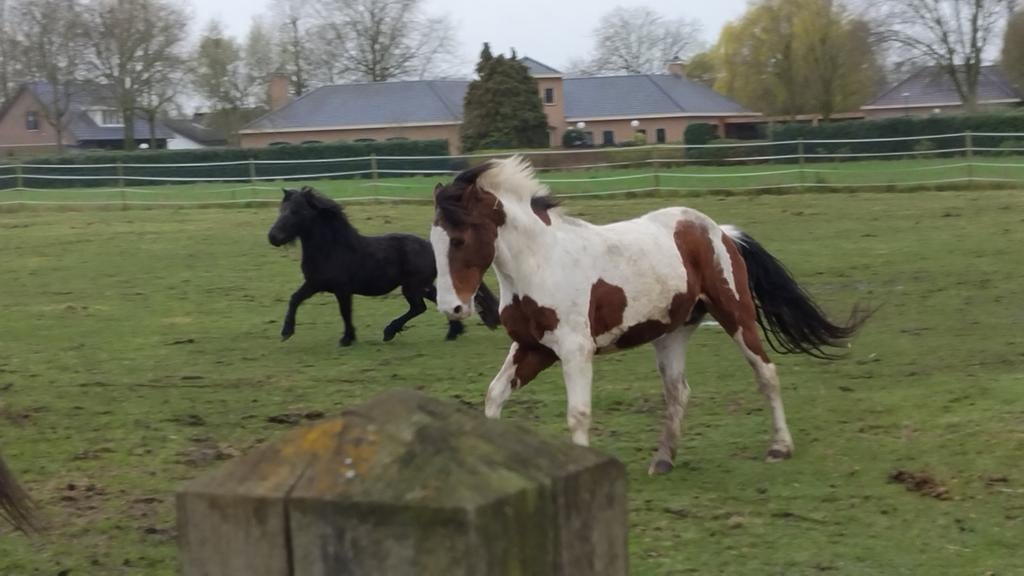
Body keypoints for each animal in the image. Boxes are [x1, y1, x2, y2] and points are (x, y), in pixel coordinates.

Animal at [268, 186, 500, 346]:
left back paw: (389, 332)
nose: (273, 237)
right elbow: (295, 299)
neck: (332, 249)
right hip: (420, 285)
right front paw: (286, 332)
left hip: (412, 287)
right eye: (281, 209)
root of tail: (431, 247)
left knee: (419, 307)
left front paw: (347, 339)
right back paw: (453, 332)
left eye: (296, 211)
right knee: (436, 301)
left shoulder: (342, 290)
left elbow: (345, 313)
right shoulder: (314, 283)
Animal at [429, 157, 868, 475]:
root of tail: (719, 231)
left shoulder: (574, 351)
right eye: (434, 240)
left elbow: (578, 414)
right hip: (671, 333)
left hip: (737, 316)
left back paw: (780, 447)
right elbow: (494, 396)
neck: (540, 264)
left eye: (459, 239)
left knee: (766, 373)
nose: (453, 308)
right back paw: (663, 460)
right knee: (678, 391)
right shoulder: (532, 348)